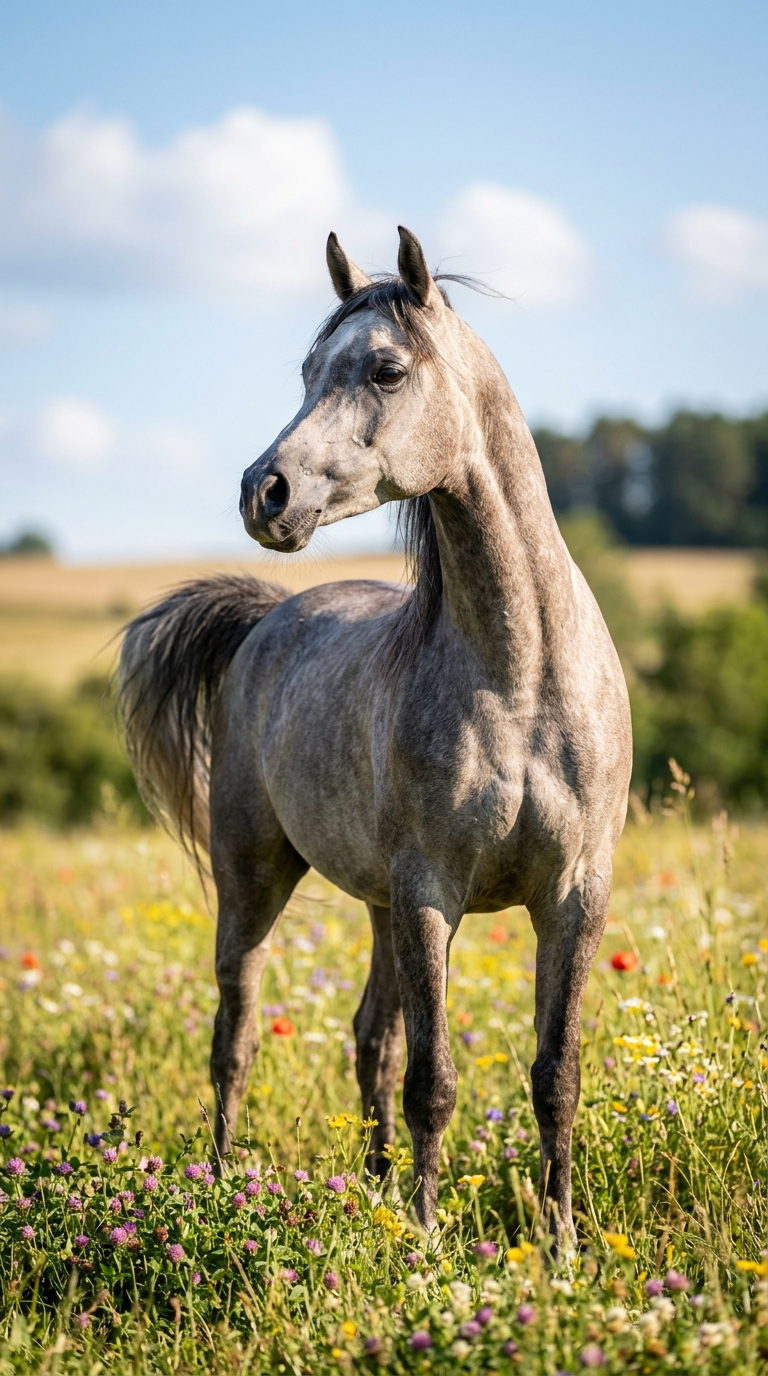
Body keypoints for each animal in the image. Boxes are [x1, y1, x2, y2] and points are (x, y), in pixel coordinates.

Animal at [119, 226, 632, 1247]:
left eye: (386, 370)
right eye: (307, 370)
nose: (264, 492)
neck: (524, 676)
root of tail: (268, 617)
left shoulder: (572, 896)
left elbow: (555, 1076)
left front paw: (561, 1246)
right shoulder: (432, 893)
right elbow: (435, 1080)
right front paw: (430, 1243)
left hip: (378, 904)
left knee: (369, 1039)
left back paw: (378, 1190)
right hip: (257, 880)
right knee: (235, 1037)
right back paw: (219, 1186)